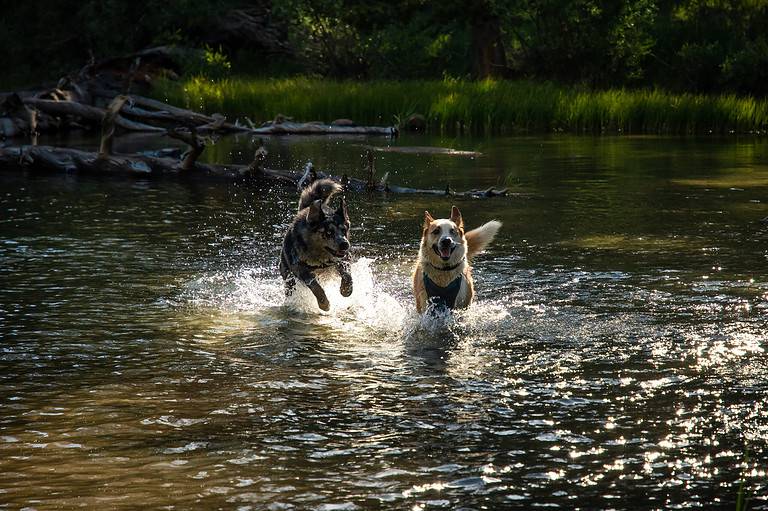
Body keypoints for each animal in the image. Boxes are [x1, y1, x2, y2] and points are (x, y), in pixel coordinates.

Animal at [280, 180, 354, 310]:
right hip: (287, 274)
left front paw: (346, 289)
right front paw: (324, 303)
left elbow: (347, 275)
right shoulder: (300, 269)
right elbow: (315, 286)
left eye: (344, 230)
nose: (345, 244)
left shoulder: (344, 259)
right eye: (328, 232)